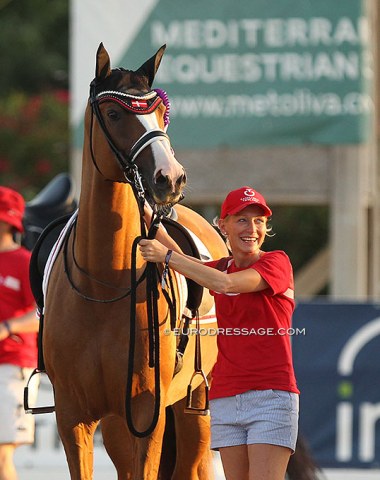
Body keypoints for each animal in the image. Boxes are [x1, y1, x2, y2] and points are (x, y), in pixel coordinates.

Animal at [43, 43, 227, 478]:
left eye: (160, 114)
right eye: (114, 114)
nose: (170, 178)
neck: (103, 280)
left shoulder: (147, 411)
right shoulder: (73, 417)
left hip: (196, 402)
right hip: (115, 423)